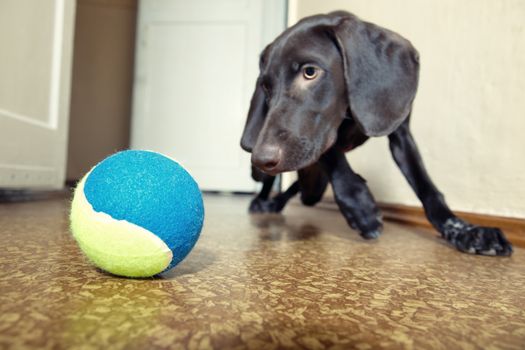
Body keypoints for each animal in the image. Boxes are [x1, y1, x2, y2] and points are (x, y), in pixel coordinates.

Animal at [241, 10, 512, 256]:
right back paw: (264, 202)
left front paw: (465, 230)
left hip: (312, 186)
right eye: (266, 87)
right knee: (271, 181)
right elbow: (332, 153)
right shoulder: (321, 138)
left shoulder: (401, 136)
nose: (262, 158)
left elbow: (427, 189)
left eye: (310, 71)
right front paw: (360, 206)